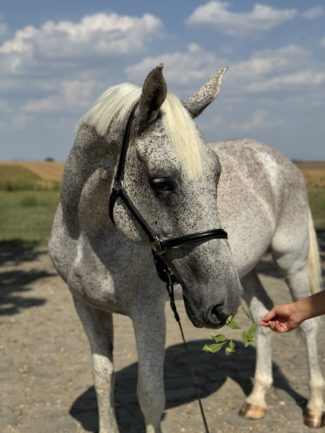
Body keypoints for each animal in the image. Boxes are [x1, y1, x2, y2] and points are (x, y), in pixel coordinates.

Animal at [48, 65, 324, 432]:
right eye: (161, 182)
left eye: (218, 174)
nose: (219, 304)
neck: (86, 241)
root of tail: (279, 161)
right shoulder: (87, 308)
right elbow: (103, 381)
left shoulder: (148, 313)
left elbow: (149, 395)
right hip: (245, 273)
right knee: (263, 316)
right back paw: (256, 400)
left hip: (290, 262)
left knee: (307, 325)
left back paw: (315, 408)